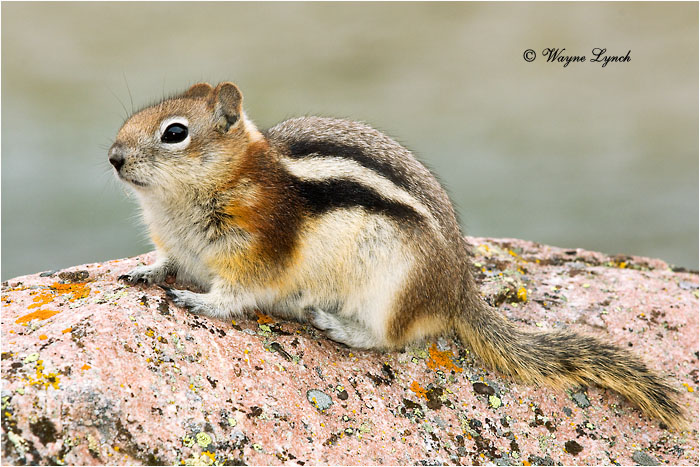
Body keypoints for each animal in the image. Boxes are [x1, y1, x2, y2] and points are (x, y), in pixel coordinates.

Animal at [109, 81, 684, 429]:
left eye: (175, 132)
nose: (113, 157)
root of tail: (459, 292)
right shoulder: (181, 246)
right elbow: (169, 262)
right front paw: (144, 270)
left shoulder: (259, 251)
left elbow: (237, 293)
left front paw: (200, 302)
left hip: (391, 286)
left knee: (390, 339)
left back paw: (337, 325)